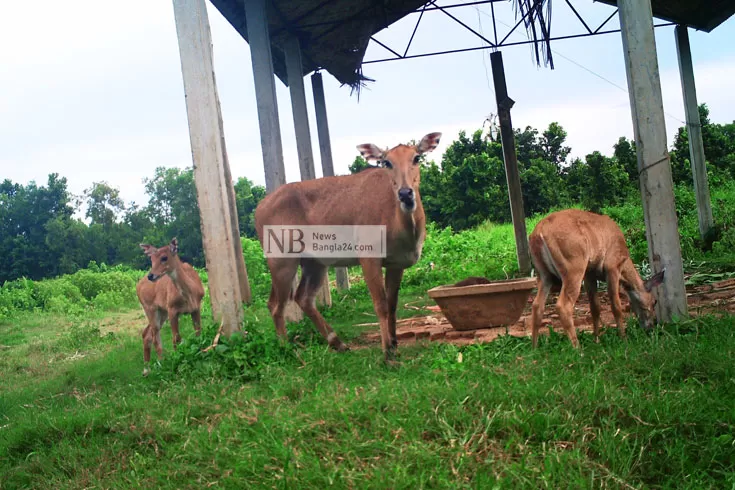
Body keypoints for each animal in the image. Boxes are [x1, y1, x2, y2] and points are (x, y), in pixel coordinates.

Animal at [137, 237, 206, 376]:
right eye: (151, 259)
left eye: (164, 257)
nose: (151, 275)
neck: (190, 295)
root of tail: (137, 287)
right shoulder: (172, 309)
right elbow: (176, 338)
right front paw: (179, 360)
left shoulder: (196, 307)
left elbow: (198, 332)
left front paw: (201, 351)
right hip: (150, 307)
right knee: (155, 336)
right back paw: (161, 364)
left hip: (161, 311)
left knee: (147, 333)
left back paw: (146, 369)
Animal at [256, 132, 442, 362]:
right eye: (387, 162)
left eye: (416, 157)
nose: (405, 193)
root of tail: (258, 209)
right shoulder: (368, 255)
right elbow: (380, 304)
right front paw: (387, 353)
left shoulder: (396, 262)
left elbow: (392, 304)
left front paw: (395, 346)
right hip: (281, 258)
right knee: (275, 304)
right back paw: (287, 348)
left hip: (315, 261)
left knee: (303, 297)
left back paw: (338, 343)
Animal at [528, 210, 668, 348]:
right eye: (654, 301)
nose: (651, 327)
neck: (624, 263)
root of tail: (539, 231)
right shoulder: (612, 266)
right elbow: (616, 306)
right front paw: (623, 339)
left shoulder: (590, 274)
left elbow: (595, 307)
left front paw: (596, 340)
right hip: (573, 266)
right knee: (563, 305)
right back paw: (577, 348)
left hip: (544, 274)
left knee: (537, 305)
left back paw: (534, 347)